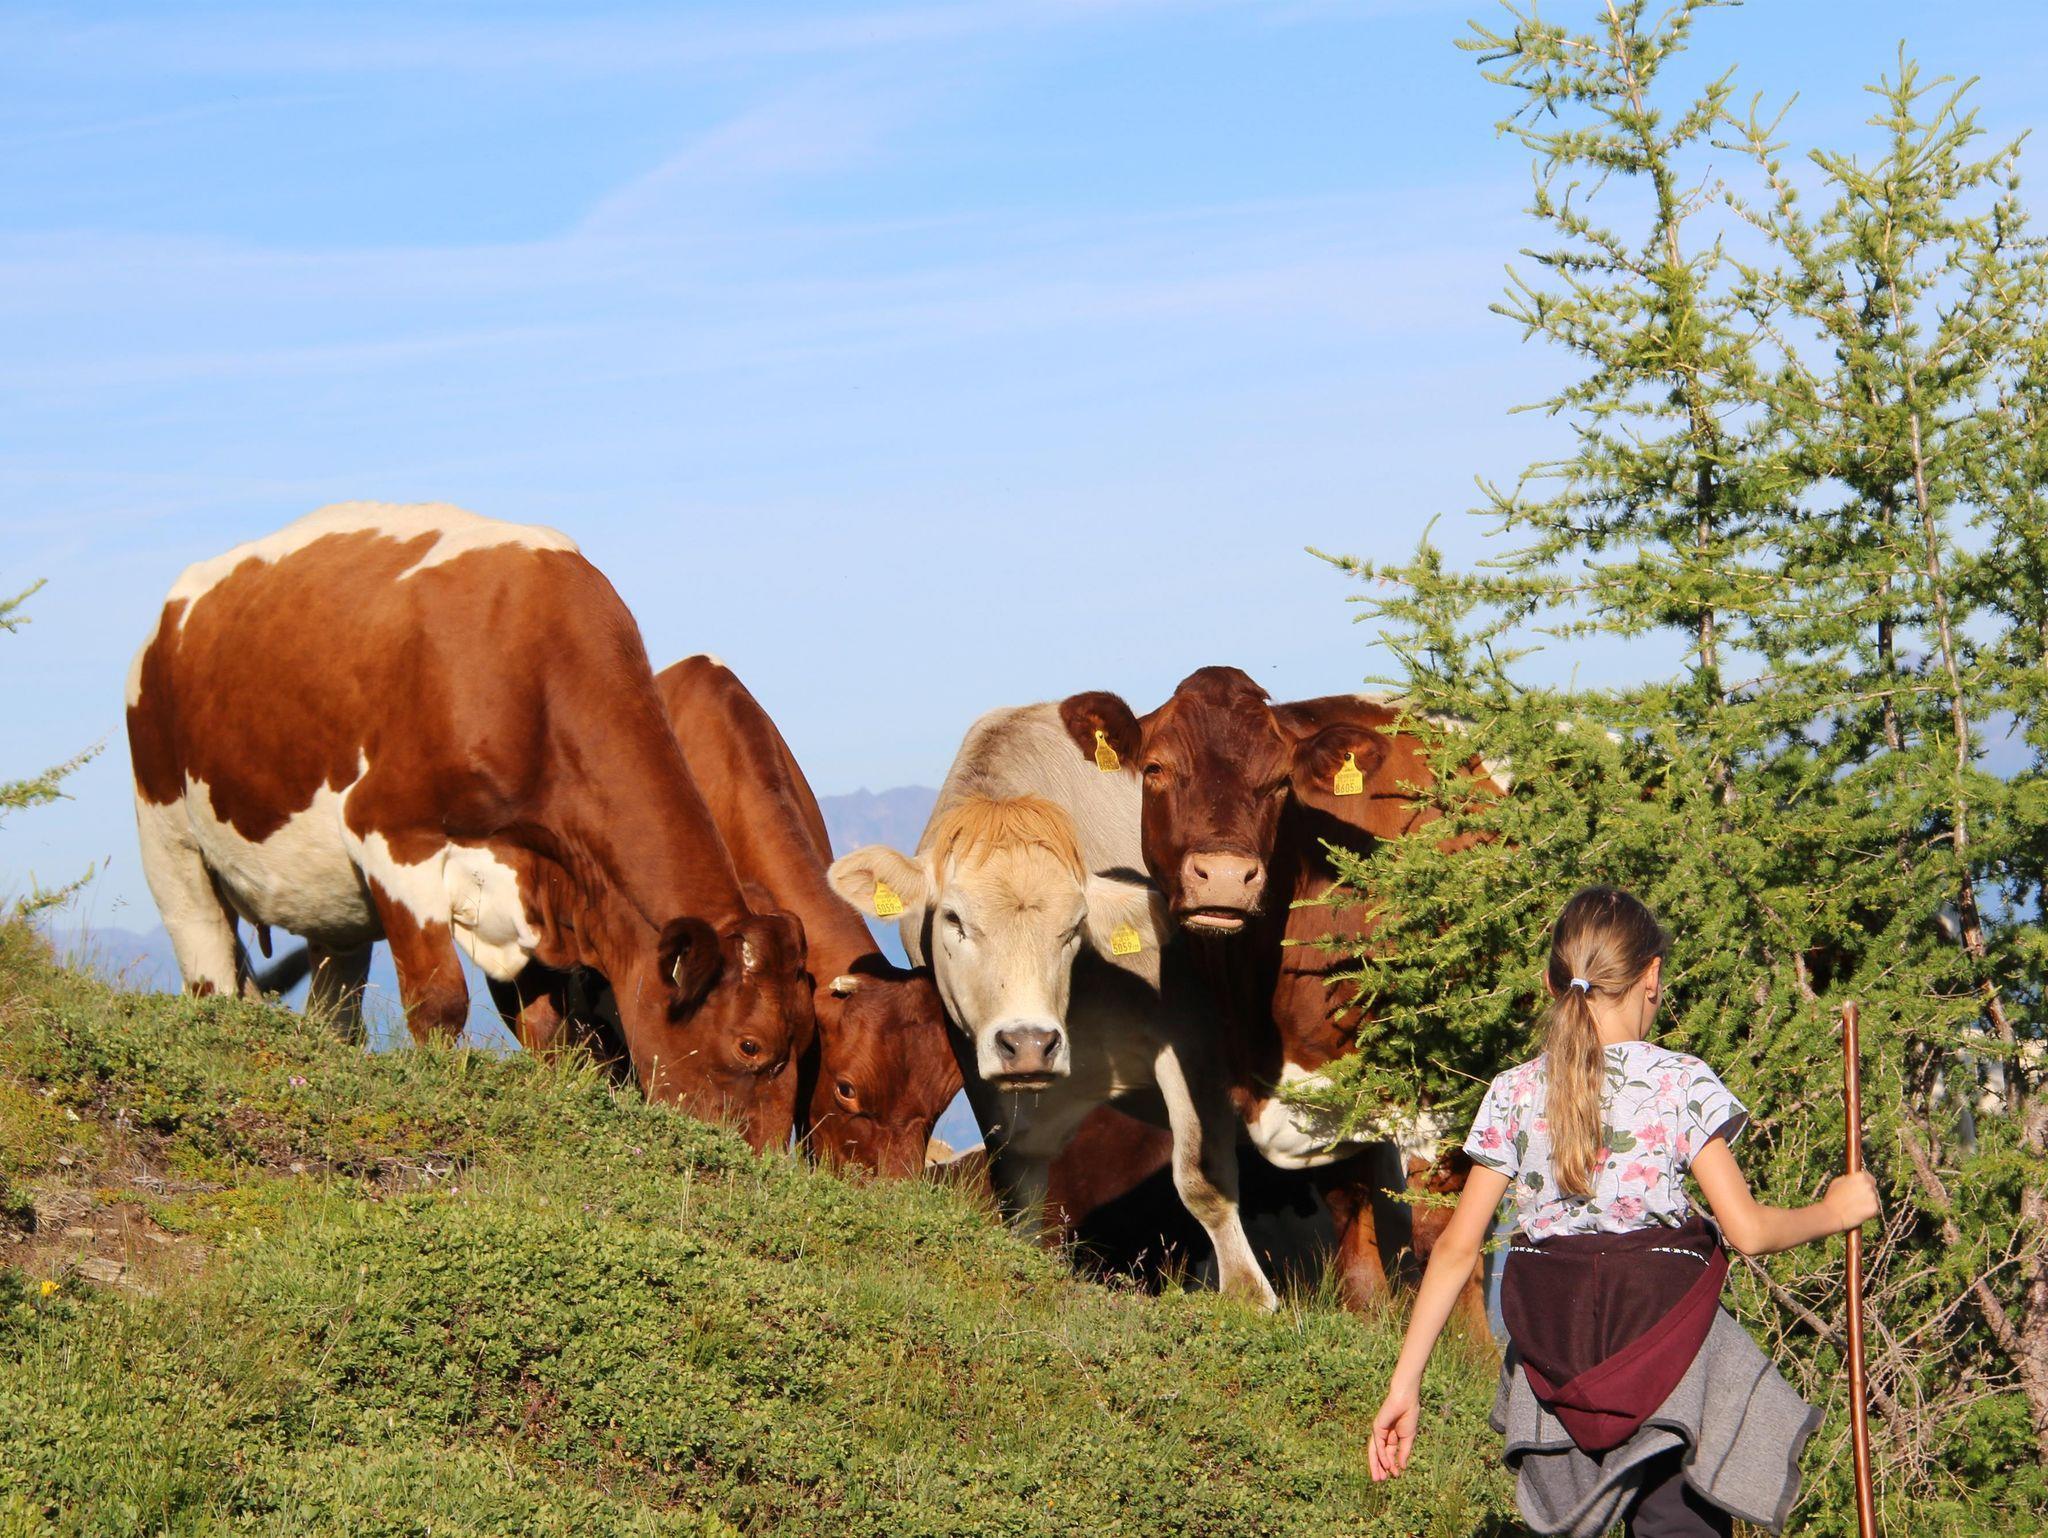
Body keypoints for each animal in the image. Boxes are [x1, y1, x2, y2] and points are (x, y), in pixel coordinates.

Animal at [125, 503, 813, 1151]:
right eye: (750, 1045)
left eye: (807, 1040)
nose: (762, 1168)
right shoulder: (389, 835)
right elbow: (439, 1001)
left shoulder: (535, 892)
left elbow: (552, 1036)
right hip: (166, 831)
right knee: (207, 959)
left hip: (325, 902)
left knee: (335, 1000)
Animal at [828, 702, 1277, 1308]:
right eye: (953, 919)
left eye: (1074, 926)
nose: (1030, 1043)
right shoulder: (978, 1060)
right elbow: (1018, 1184)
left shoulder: (1192, 1039)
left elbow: (1201, 1176)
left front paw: (1251, 1299)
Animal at [1055, 666, 1492, 1322]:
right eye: (1155, 768)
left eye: (1282, 781)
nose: (1224, 877)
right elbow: (1348, 1215)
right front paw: (1365, 1311)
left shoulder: (1444, 1077)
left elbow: (1443, 1231)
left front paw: (1467, 1348)